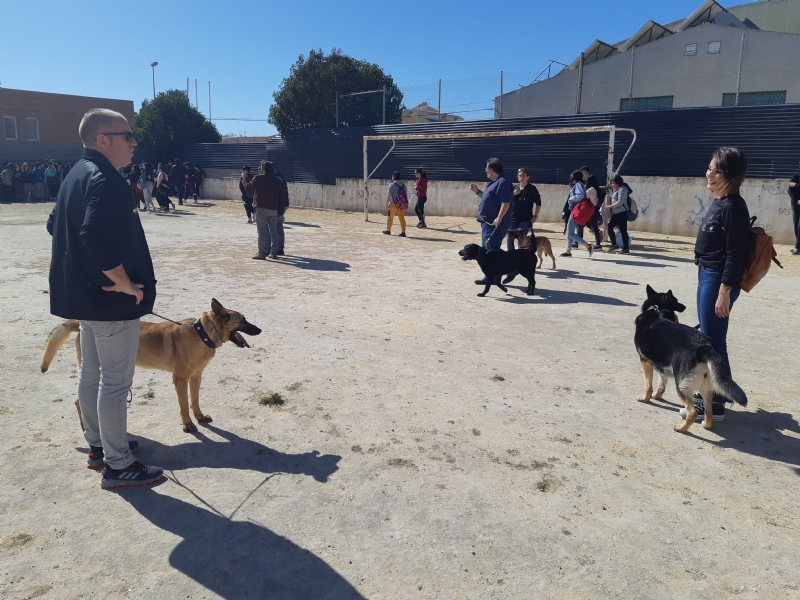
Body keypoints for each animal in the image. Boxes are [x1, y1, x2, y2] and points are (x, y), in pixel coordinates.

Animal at [41, 300, 262, 432]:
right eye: (243, 320)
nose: (260, 330)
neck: (202, 333)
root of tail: (81, 324)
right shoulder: (180, 380)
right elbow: (184, 404)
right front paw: (188, 424)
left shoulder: (196, 376)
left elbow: (195, 400)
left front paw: (199, 416)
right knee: (79, 400)